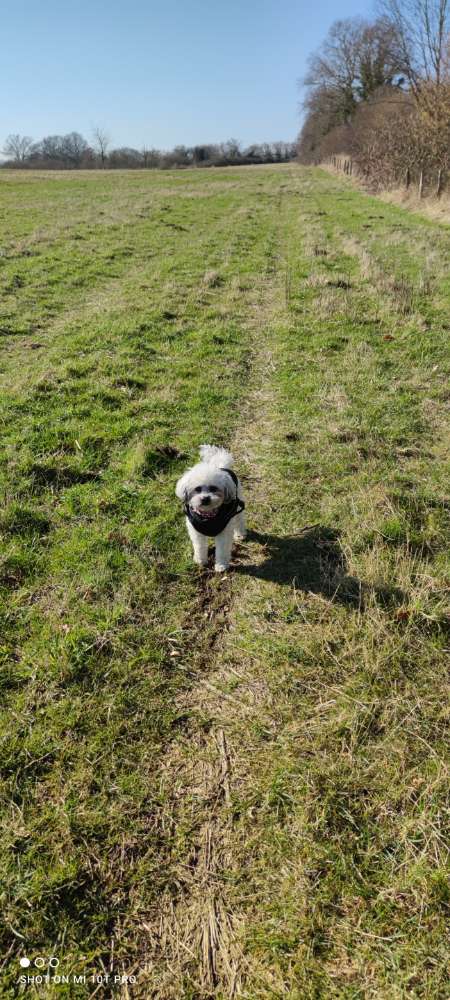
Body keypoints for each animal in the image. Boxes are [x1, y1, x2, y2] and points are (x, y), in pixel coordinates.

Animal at [176, 444, 246, 576]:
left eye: (214, 488)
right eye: (197, 489)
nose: (205, 498)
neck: (207, 517)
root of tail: (222, 466)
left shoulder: (224, 533)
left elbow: (222, 550)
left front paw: (221, 565)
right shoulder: (197, 533)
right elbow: (199, 547)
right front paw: (200, 560)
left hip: (238, 505)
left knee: (239, 520)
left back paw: (240, 534)